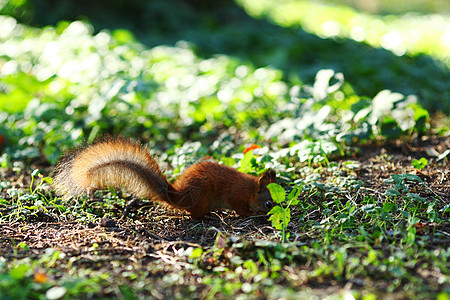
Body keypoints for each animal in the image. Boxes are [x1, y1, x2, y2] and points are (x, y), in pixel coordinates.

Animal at [54, 138, 276, 218]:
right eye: (268, 203)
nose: (274, 212)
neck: (250, 189)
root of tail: (178, 196)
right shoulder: (235, 195)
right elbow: (241, 209)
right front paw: (251, 214)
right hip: (202, 197)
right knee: (194, 214)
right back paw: (209, 216)